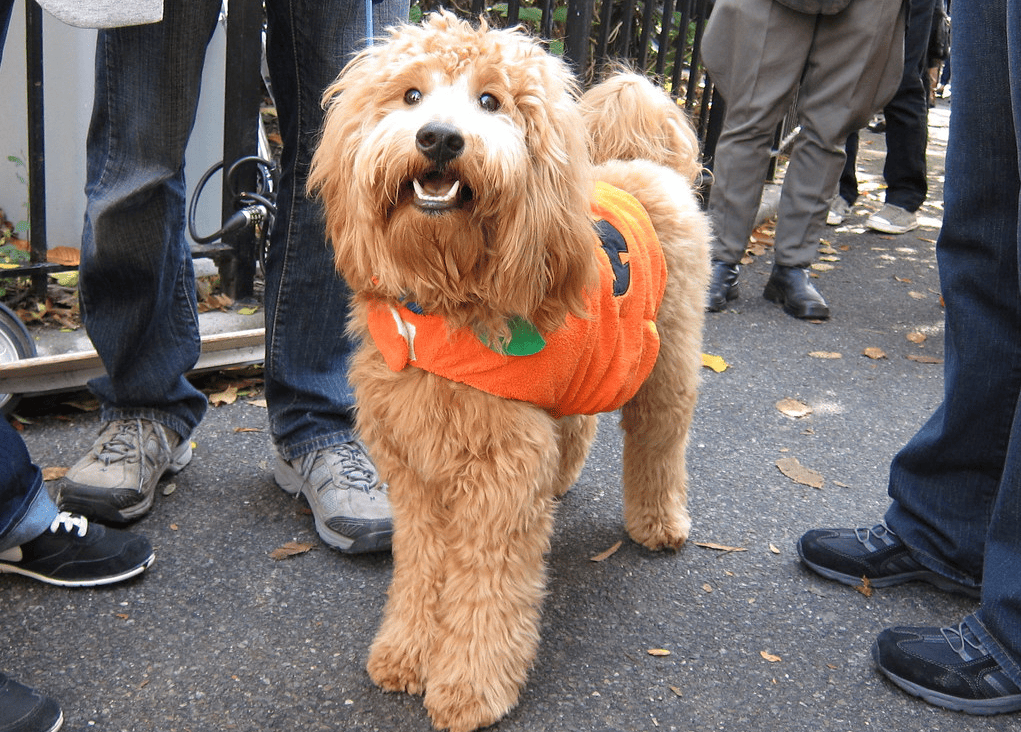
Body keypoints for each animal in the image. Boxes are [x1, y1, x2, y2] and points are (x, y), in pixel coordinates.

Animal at [308, 12, 710, 730]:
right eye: (411, 95)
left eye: (490, 101)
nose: (439, 137)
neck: (444, 306)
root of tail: (641, 164)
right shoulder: (415, 477)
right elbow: (420, 574)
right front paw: (406, 652)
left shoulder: (498, 478)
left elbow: (484, 594)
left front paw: (469, 686)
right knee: (576, 426)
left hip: (666, 359)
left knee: (659, 439)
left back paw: (658, 522)